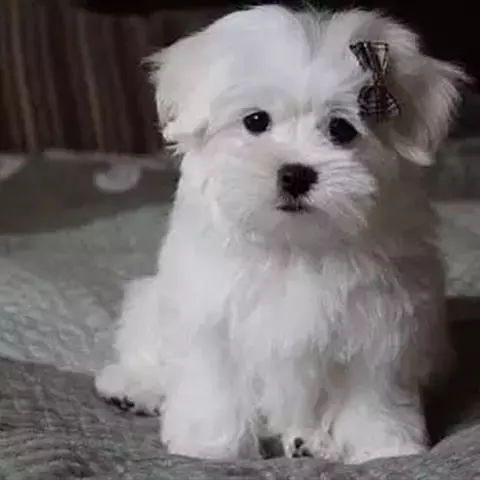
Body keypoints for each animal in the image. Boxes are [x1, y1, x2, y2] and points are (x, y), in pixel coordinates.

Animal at [95, 5, 466, 463]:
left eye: (341, 129)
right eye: (256, 121)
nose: (295, 173)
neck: (295, 244)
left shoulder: (382, 328)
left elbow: (373, 395)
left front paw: (383, 447)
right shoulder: (209, 314)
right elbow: (214, 384)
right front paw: (211, 447)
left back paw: (308, 440)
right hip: (152, 301)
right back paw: (131, 387)